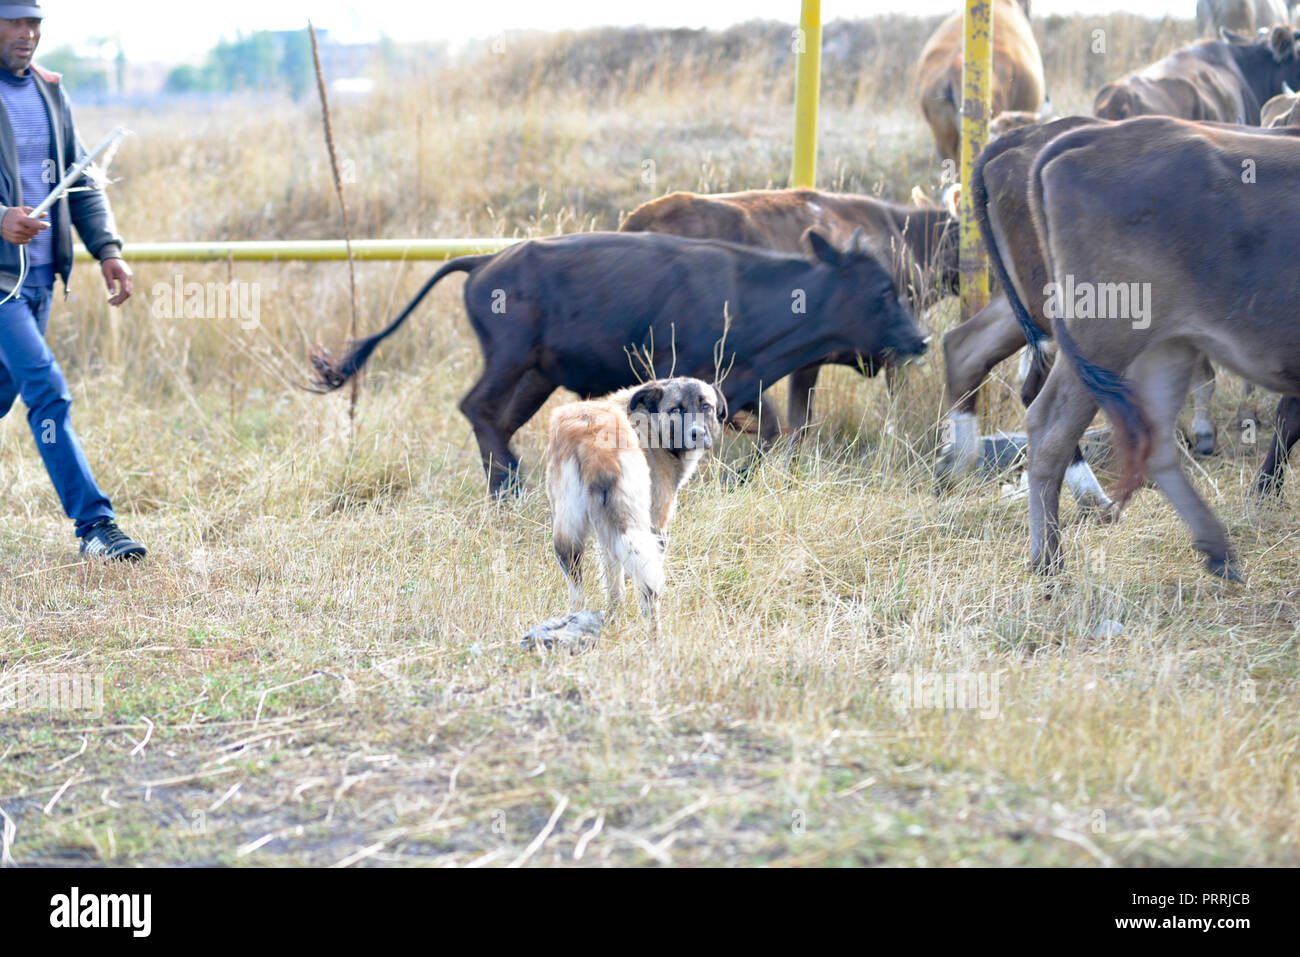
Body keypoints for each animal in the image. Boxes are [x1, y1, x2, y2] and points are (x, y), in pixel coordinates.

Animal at [546, 377, 728, 631]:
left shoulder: (607, 536)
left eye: (706, 406)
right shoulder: (658, 528)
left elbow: (613, 586)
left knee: (578, 590)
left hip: (568, 539)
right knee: (649, 592)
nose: (698, 434)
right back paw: (655, 634)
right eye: (676, 410)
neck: (651, 423)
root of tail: (591, 433)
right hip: (639, 532)